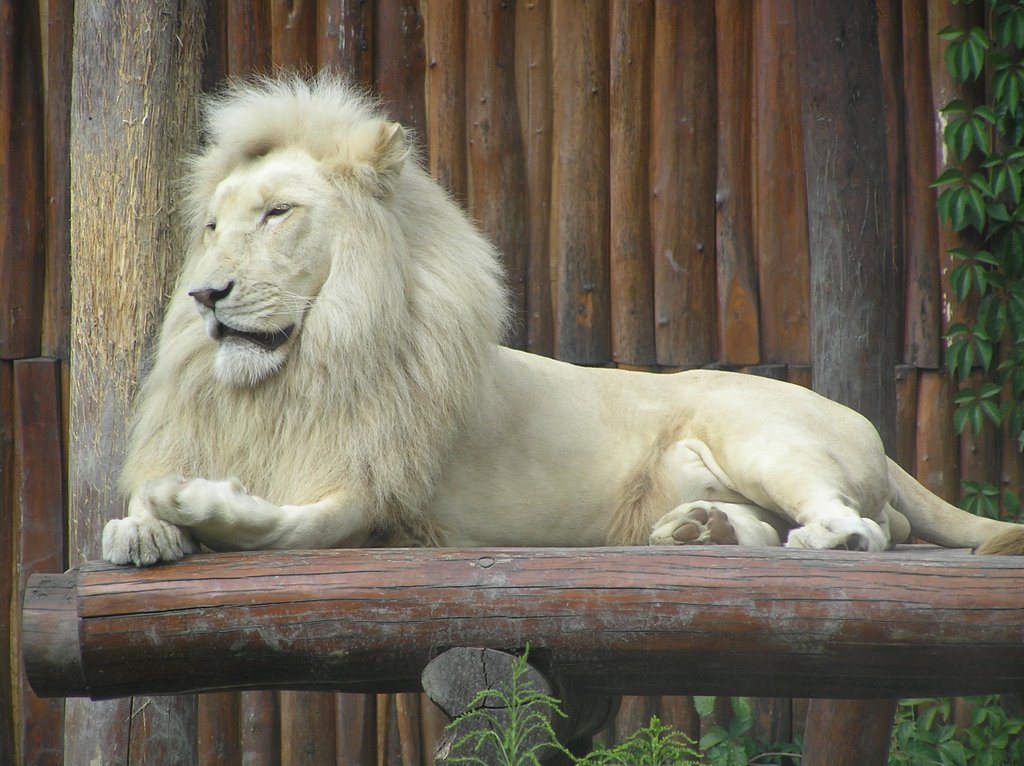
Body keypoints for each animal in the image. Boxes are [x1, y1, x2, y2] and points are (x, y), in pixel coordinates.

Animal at [101, 74, 1024, 565]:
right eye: (210, 228)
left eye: (279, 214)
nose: (205, 295)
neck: (293, 375)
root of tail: (870, 429)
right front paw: (141, 527)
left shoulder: (368, 493)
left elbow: (286, 527)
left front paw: (193, 503)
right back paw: (700, 528)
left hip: (758, 432)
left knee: (863, 527)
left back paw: (806, 540)